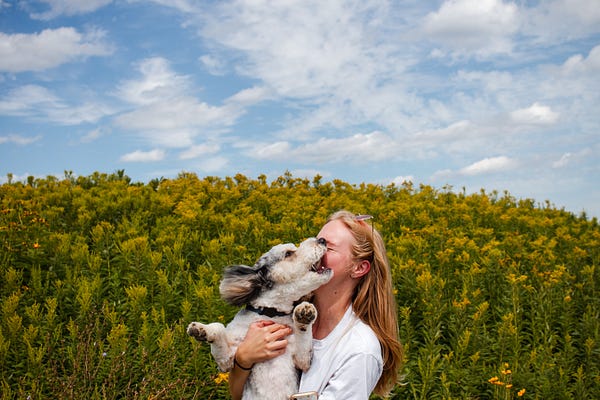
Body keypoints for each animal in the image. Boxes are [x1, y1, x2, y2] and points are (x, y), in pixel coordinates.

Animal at [187, 237, 332, 399]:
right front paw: (201, 330)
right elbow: (218, 328)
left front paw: (304, 314)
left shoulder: (303, 360)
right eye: (288, 253)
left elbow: (304, 336)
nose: (322, 240)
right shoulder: (227, 360)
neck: (271, 313)